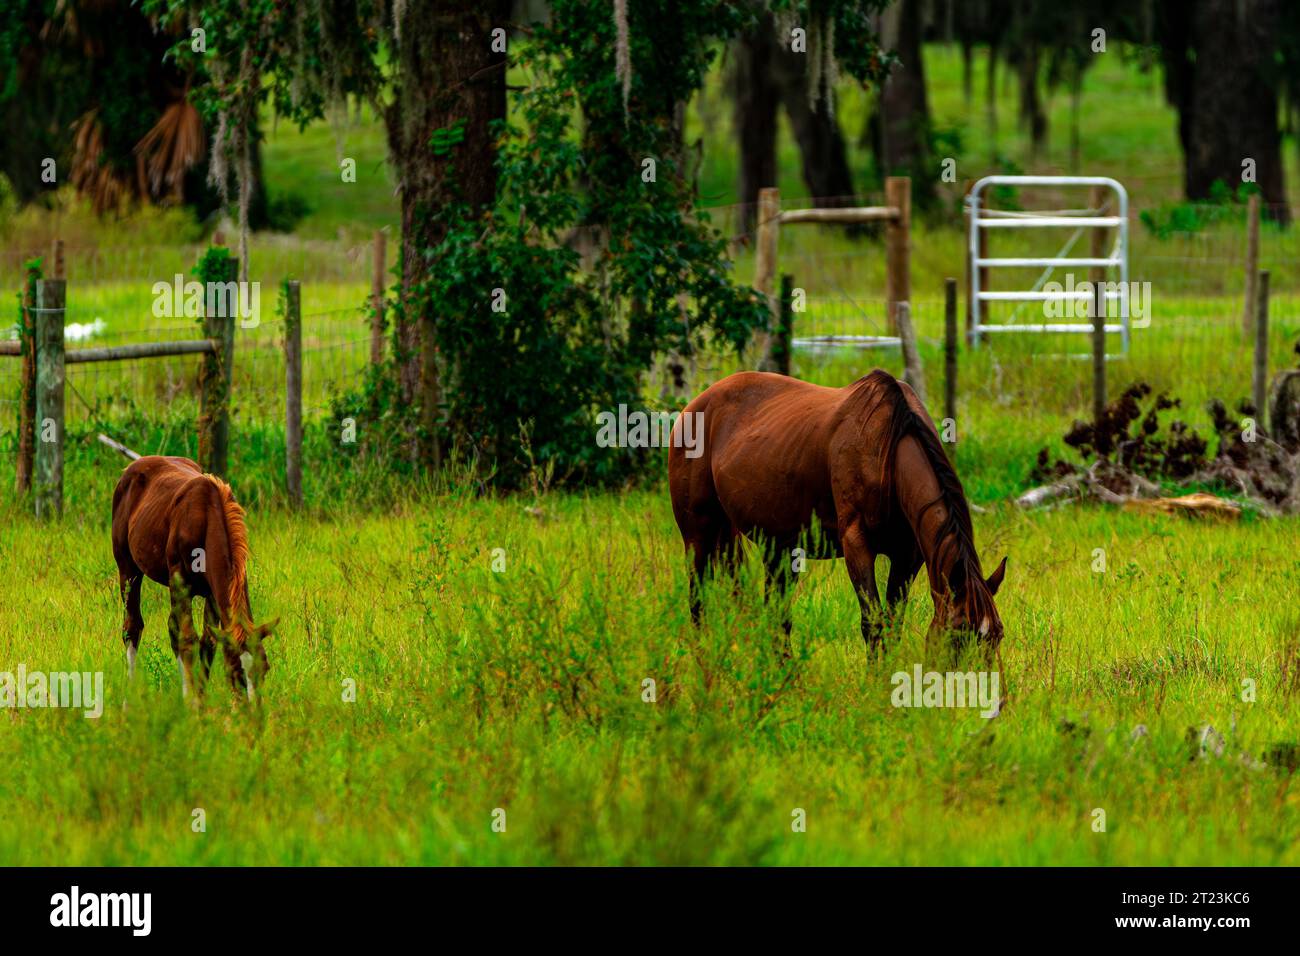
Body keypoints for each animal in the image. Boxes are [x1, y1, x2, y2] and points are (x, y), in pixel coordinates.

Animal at [111, 456, 276, 700]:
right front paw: (193, 703)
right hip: (128, 569)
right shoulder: (180, 583)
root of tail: (130, 468)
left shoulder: (213, 594)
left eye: (265, 669)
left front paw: (202, 698)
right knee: (132, 626)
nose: (253, 709)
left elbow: (208, 642)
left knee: (172, 627)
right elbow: (188, 640)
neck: (207, 517)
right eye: (236, 671)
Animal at [668, 368, 1006, 654]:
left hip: (774, 548)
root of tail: (692, 408)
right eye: (958, 637)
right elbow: (872, 624)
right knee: (698, 605)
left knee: (774, 616)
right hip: (698, 538)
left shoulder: (907, 557)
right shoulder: (857, 544)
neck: (888, 453)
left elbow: (892, 625)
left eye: (997, 637)